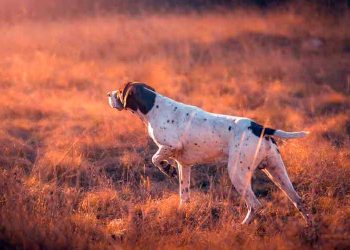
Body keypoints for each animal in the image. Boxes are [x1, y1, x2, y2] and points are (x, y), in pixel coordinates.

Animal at [107, 81, 312, 225]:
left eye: (120, 91)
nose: (108, 94)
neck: (153, 107)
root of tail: (260, 127)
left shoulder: (170, 145)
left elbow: (155, 158)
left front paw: (167, 168)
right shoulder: (184, 165)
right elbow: (184, 194)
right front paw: (183, 212)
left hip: (238, 174)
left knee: (255, 204)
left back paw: (241, 226)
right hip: (277, 172)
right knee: (299, 201)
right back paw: (311, 229)